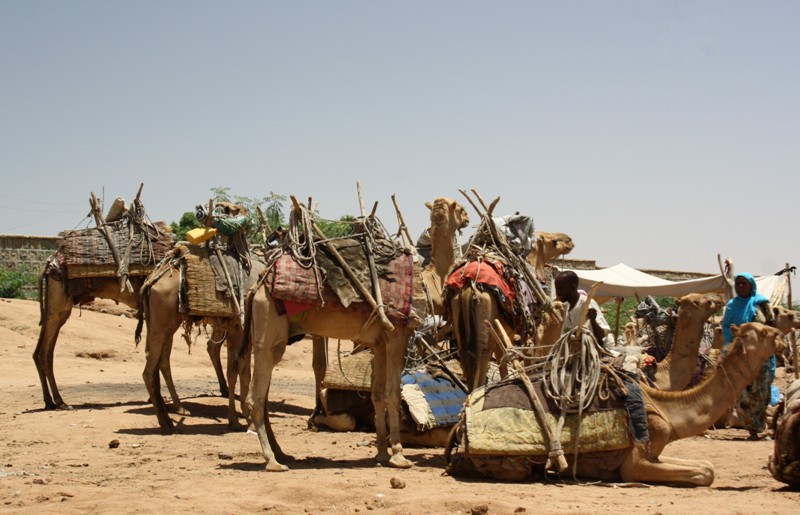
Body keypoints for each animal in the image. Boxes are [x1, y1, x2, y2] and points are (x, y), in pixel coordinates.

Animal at [446, 322, 784, 488]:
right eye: (766, 332)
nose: (783, 335)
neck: (666, 410)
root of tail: (462, 421)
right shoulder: (636, 460)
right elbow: (704, 473)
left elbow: (707, 467)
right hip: (509, 462)